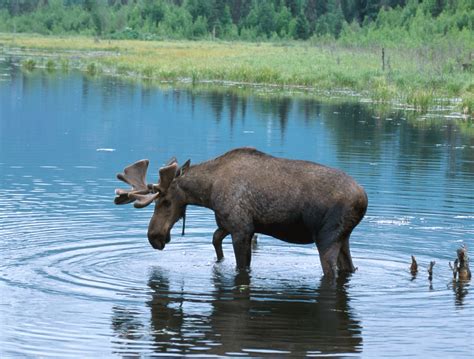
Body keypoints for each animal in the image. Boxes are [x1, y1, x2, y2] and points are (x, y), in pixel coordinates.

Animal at [114, 148, 366, 280]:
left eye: (165, 201)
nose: (153, 236)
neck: (208, 192)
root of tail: (363, 200)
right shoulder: (228, 223)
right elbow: (215, 239)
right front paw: (219, 261)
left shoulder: (241, 228)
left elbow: (241, 265)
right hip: (343, 237)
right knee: (348, 268)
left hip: (327, 237)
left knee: (331, 272)